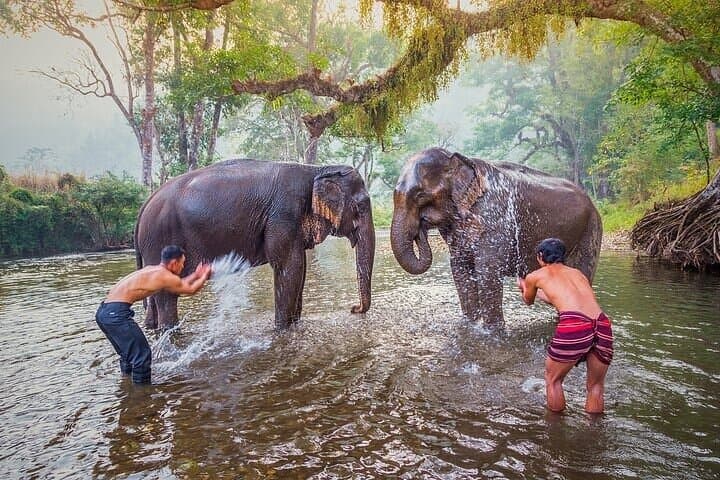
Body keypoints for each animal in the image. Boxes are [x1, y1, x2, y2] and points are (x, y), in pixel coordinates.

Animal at [134, 158, 375, 330]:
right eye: (361, 206)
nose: (353, 308)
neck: (316, 169)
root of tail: (145, 203)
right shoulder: (283, 216)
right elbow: (290, 267)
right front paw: (282, 330)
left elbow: (300, 269)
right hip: (160, 239)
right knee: (166, 295)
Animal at [391, 147, 602, 324]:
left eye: (419, 195)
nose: (421, 227)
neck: (454, 156)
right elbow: (460, 271)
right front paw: (471, 325)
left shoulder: (493, 220)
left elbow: (487, 273)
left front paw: (492, 331)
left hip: (592, 229)